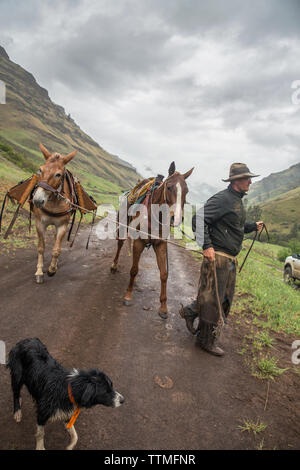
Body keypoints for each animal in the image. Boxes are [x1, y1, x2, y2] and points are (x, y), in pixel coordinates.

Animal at [31, 142, 77, 282]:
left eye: (58, 175)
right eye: (40, 169)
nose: (38, 200)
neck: (53, 202)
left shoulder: (62, 225)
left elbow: (57, 250)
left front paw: (52, 269)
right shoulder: (40, 223)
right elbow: (41, 248)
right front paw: (39, 272)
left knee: (57, 242)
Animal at [111, 162, 193, 320]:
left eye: (186, 191)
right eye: (169, 187)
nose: (176, 219)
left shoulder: (160, 245)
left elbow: (164, 274)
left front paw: (163, 307)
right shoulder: (139, 242)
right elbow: (134, 269)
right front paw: (128, 295)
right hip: (122, 227)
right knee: (119, 245)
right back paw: (114, 265)